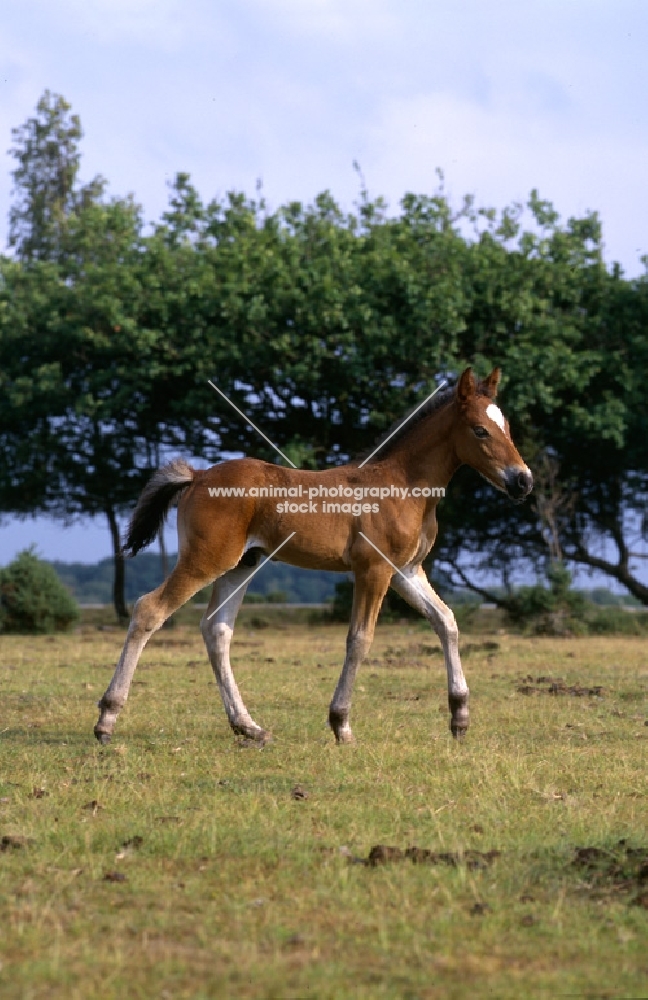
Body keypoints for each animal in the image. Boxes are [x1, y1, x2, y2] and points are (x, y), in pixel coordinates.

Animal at [95, 368, 532, 744]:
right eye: (480, 430)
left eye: (507, 428)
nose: (523, 481)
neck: (404, 485)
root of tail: (198, 476)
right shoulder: (373, 570)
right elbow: (360, 638)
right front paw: (341, 725)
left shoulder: (406, 570)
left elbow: (446, 622)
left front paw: (459, 717)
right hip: (206, 560)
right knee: (149, 610)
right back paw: (107, 719)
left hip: (241, 565)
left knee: (217, 630)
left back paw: (249, 727)